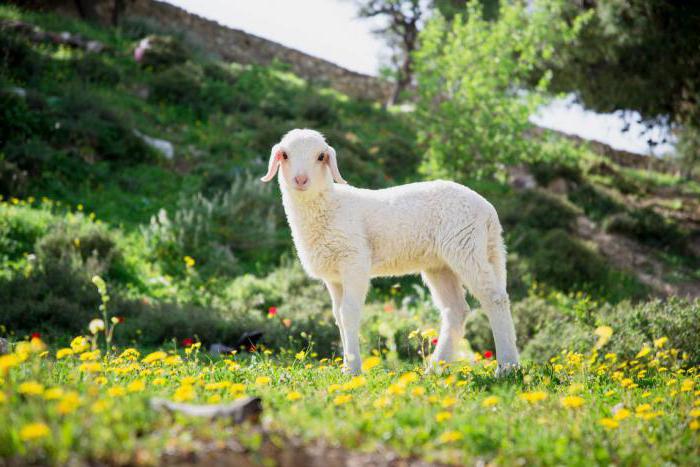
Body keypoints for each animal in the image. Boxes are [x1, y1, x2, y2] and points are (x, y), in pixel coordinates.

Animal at [260, 129, 516, 376]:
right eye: (284, 155)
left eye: (321, 156)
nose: (300, 179)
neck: (331, 205)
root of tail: (488, 212)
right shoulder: (334, 275)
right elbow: (338, 317)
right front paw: (346, 366)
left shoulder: (354, 262)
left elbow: (349, 313)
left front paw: (354, 370)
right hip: (441, 264)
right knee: (456, 311)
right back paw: (435, 368)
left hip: (466, 246)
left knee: (495, 299)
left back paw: (506, 367)